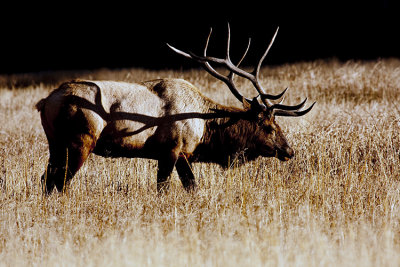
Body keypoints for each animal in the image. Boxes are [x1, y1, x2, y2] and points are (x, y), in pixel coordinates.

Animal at [36, 25, 314, 195]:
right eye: (269, 126)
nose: (289, 151)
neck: (205, 130)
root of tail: (45, 102)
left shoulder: (183, 154)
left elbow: (192, 186)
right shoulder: (171, 149)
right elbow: (164, 188)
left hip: (55, 143)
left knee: (46, 178)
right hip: (79, 141)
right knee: (60, 180)